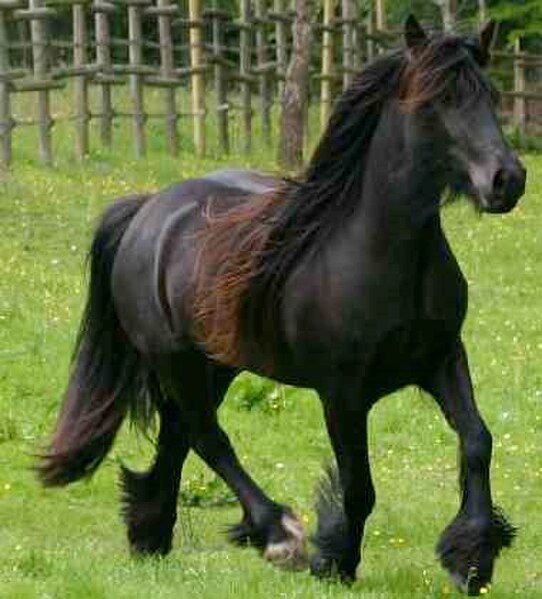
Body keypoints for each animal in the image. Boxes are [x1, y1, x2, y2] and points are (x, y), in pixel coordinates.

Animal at [37, 16, 528, 596]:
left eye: (491, 94)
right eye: (438, 99)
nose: (507, 180)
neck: (380, 253)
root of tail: (146, 210)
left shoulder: (442, 359)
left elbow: (477, 440)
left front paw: (472, 557)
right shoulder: (342, 392)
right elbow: (359, 485)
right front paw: (334, 560)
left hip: (216, 364)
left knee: (181, 434)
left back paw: (150, 534)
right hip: (176, 361)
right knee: (207, 436)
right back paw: (277, 535)